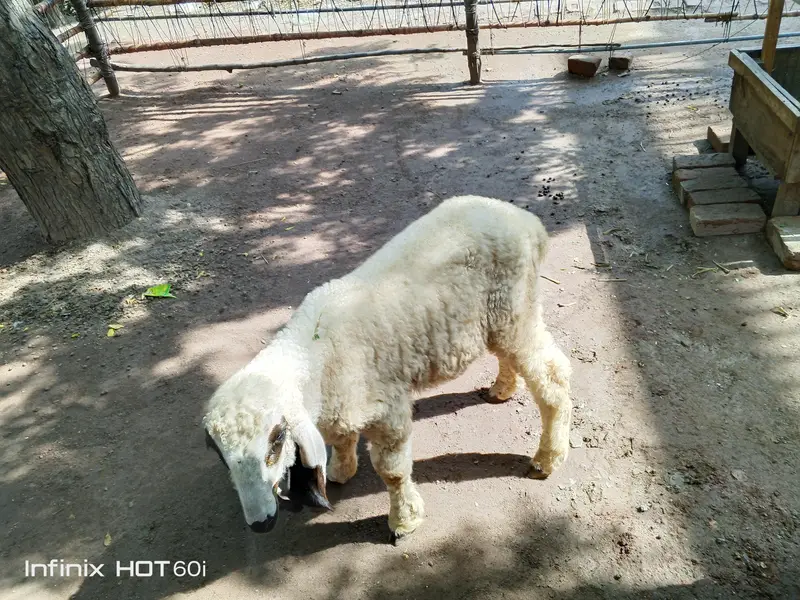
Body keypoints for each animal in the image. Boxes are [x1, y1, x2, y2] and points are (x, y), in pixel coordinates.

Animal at [203, 194, 572, 538]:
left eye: (277, 440)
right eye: (219, 454)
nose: (261, 523)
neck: (314, 353)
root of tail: (527, 222)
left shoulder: (387, 410)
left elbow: (392, 472)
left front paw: (404, 521)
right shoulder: (341, 405)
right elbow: (341, 439)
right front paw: (341, 470)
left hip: (516, 308)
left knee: (553, 377)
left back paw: (546, 459)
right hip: (499, 319)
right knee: (510, 357)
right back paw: (502, 389)